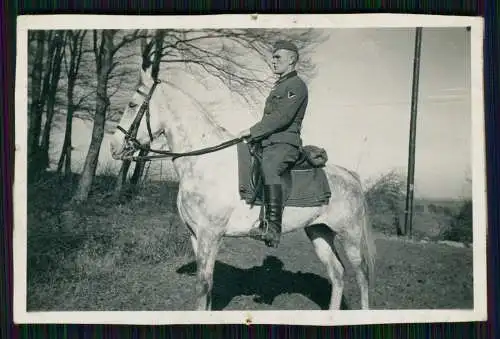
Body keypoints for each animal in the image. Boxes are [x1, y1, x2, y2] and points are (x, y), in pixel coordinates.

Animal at [108, 65, 376, 312]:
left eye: (132, 104)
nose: (113, 146)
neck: (204, 161)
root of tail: (351, 176)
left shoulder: (210, 235)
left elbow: (203, 284)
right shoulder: (196, 235)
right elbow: (207, 283)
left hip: (350, 235)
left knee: (361, 274)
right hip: (319, 231)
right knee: (337, 273)